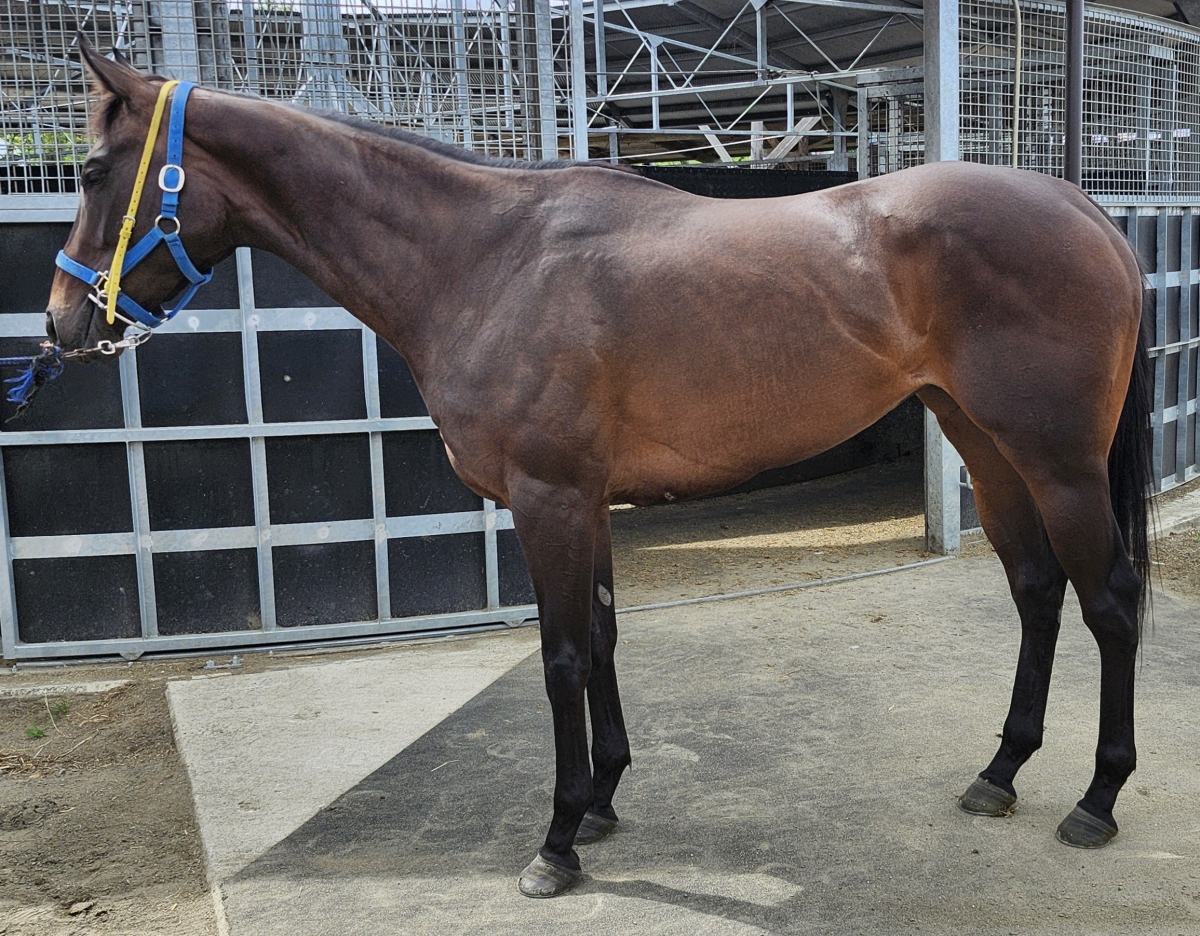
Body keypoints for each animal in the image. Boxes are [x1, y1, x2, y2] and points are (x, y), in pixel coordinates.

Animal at [48, 40, 1152, 898]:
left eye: (96, 171)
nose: (60, 328)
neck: (485, 258)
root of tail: (1087, 211)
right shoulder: (590, 501)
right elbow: (608, 638)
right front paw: (605, 802)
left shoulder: (548, 500)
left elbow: (563, 658)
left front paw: (557, 839)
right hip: (985, 446)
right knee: (1036, 589)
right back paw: (1000, 772)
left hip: (1058, 464)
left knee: (1109, 602)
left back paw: (1098, 799)